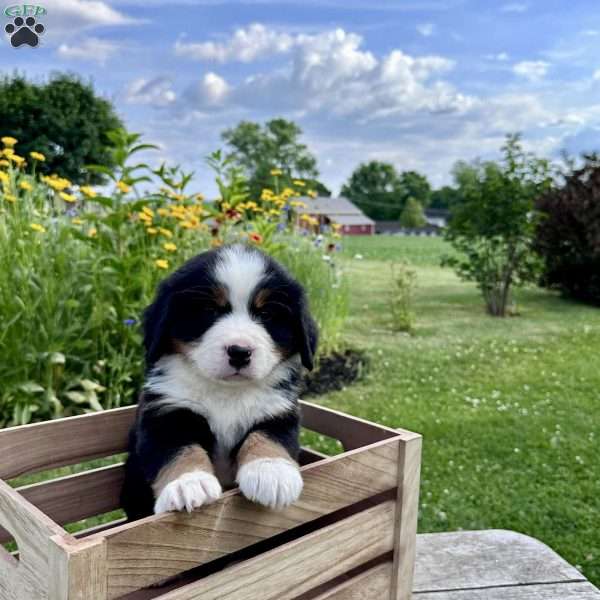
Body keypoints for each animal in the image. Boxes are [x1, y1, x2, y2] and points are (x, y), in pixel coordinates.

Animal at [120, 244, 318, 520]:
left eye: (266, 313)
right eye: (209, 310)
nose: (239, 351)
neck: (226, 393)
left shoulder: (278, 409)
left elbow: (267, 436)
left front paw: (271, 472)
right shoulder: (165, 412)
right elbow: (179, 449)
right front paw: (187, 484)